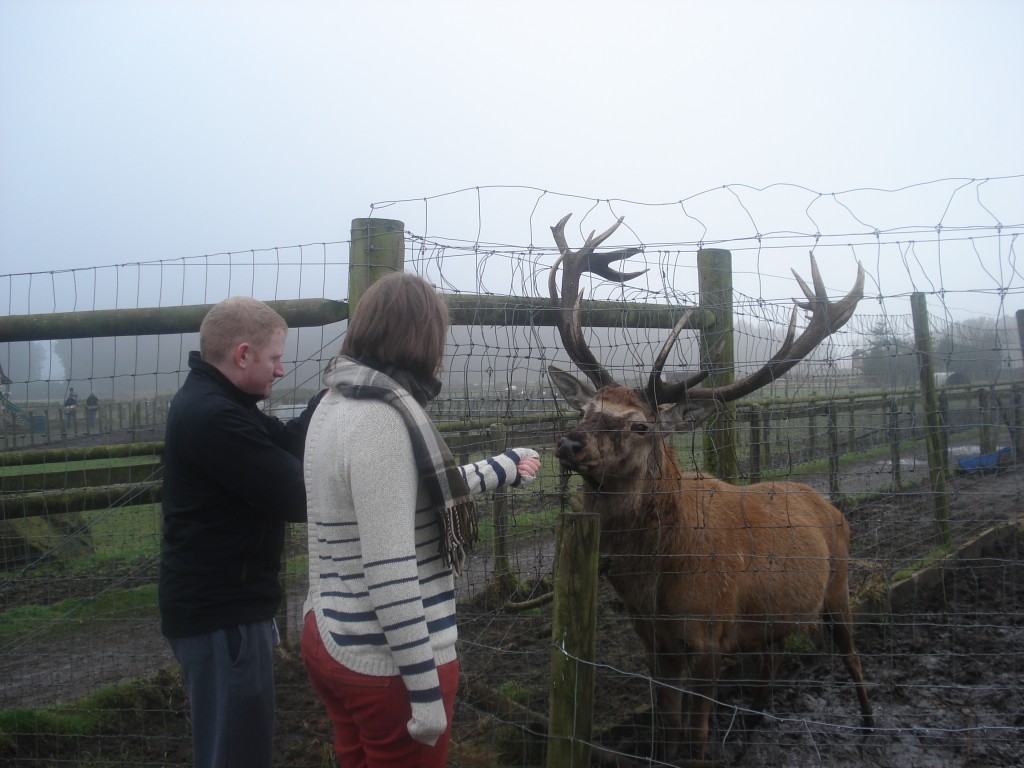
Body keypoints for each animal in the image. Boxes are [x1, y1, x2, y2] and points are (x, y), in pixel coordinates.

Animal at [548, 215, 876, 765]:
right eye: (587, 409)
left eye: (640, 425)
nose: (569, 442)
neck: (655, 582)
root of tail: (828, 504)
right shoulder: (653, 641)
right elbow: (667, 726)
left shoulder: (710, 636)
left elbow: (696, 739)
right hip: (773, 617)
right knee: (769, 667)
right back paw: (753, 731)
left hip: (839, 585)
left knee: (852, 654)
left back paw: (870, 724)